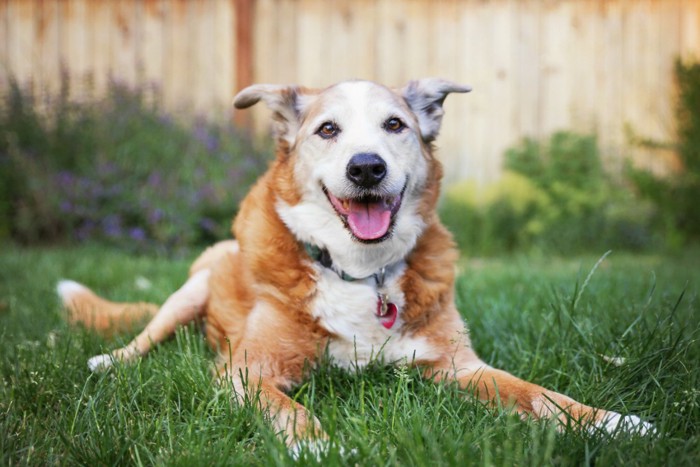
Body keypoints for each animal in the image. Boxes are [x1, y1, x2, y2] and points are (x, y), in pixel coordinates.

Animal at [57, 78, 652, 456]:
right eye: (327, 130)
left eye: (395, 125)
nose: (367, 167)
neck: (364, 273)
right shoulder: (247, 373)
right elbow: (288, 409)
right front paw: (315, 446)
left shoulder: (458, 367)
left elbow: (538, 394)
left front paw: (611, 421)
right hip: (191, 291)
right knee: (147, 334)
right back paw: (109, 361)